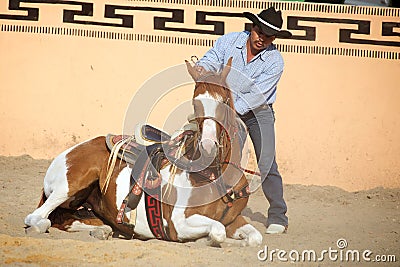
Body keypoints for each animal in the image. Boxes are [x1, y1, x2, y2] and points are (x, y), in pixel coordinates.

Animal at [24, 58, 262, 247]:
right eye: (195, 103)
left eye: (224, 101)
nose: (208, 146)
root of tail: (67, 153)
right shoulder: (178, 223)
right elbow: (217, 231)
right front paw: (207, 240)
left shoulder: (235, 220)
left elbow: (254, 238)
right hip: (70, 185)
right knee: (37, 218)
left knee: (66, 219)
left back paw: (102, 230)